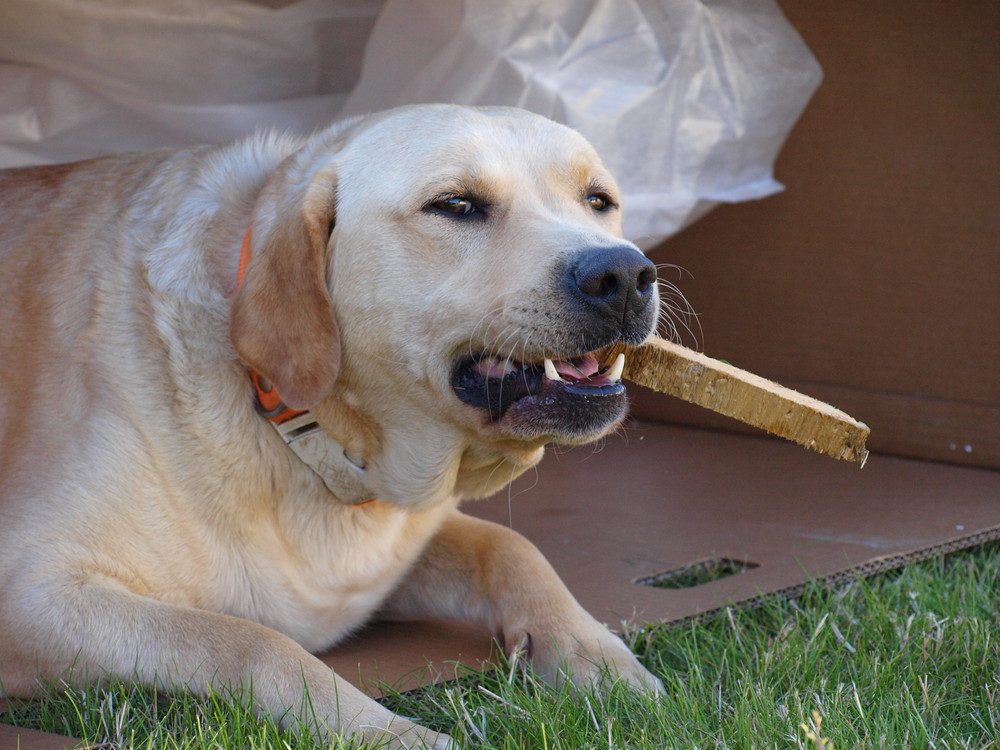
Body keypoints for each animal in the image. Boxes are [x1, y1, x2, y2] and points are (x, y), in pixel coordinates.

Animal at [0, 106, 660, 750]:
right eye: (456, 205)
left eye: (598, 200)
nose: (624, 275)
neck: (305, 436)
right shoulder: (32, 592)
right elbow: (253, 641)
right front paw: (391, 733)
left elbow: (511, 547)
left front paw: (597, 657)